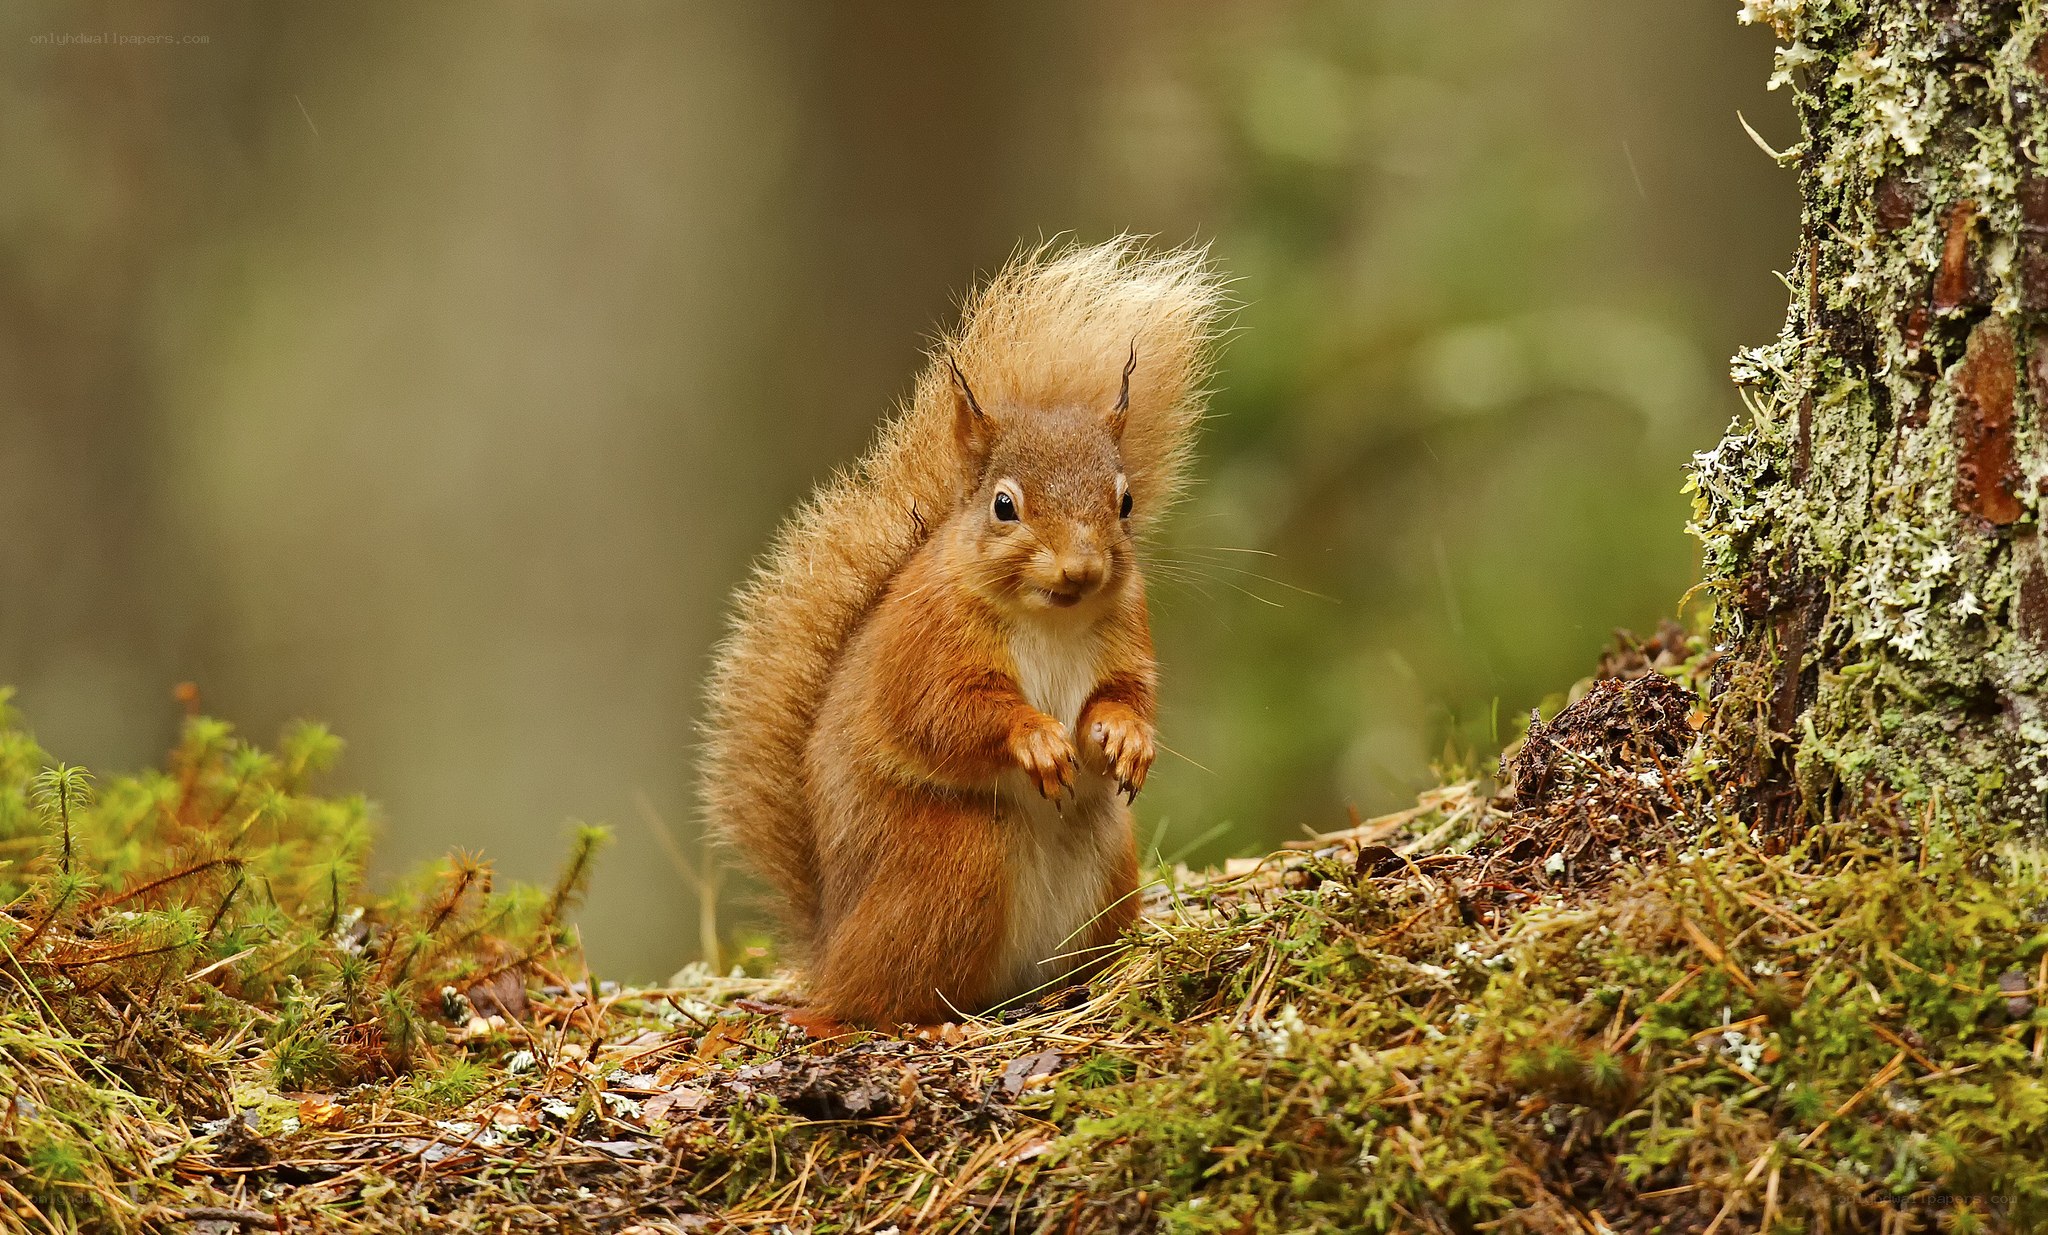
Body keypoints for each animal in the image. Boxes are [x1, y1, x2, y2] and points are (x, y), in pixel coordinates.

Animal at [701, 239, 1225, 1027]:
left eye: (1126, 501)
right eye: (1004, 505)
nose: (1082, 567)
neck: (1050, 618)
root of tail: (831, 945)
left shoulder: (1126, 633)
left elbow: (1127, 693)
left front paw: (1126, 739)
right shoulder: (927, 643)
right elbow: (941, 714)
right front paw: (1036, 739)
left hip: (1108, 866)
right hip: (956, 863)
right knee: (874, 1001)